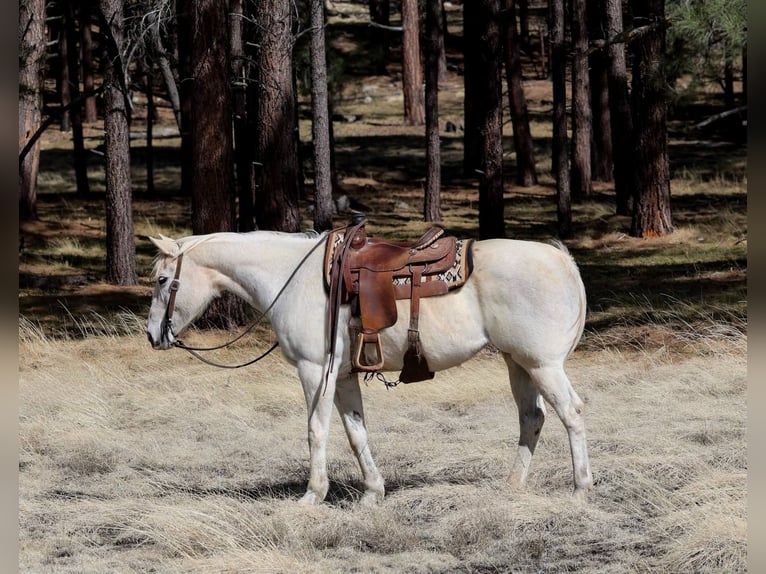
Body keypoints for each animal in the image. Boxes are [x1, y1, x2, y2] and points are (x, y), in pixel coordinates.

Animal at [146, 229, 593, 505]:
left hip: (543, 364)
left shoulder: (315, 371)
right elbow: (355, 432)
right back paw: (512, 486)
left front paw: (312, 495)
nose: (153, 336)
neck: (292, 279)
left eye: (164, 280)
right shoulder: (343, 376)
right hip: (518, 363)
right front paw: (372, 493)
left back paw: (581, 488)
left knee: (571, 413)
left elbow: (317, 431)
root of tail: (562, 259)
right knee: (531, 418)